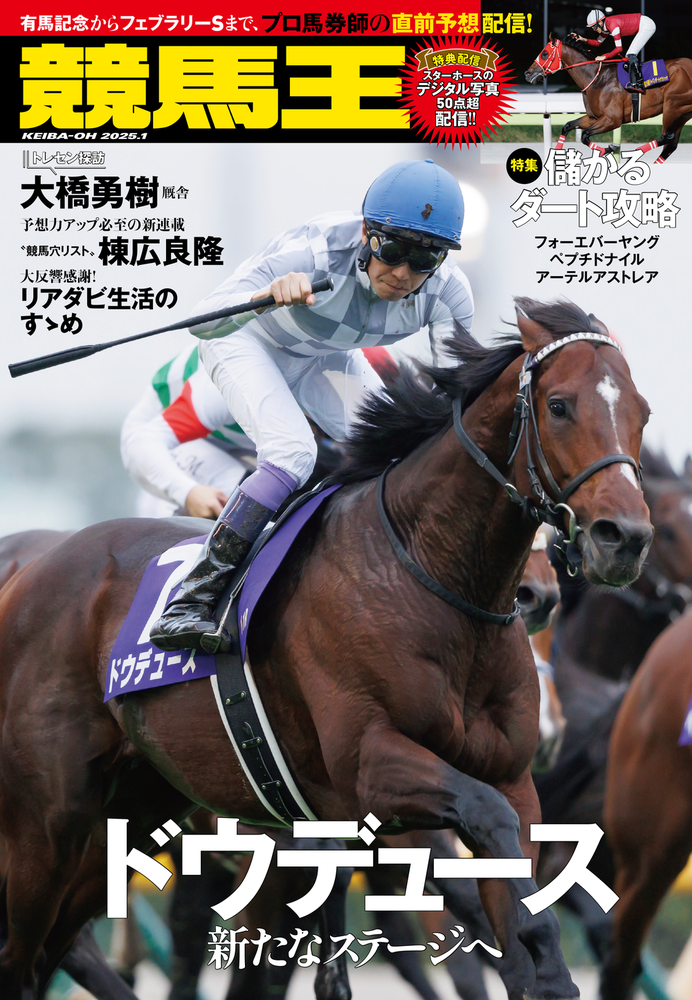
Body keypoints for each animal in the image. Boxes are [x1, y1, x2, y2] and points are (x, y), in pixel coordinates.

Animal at [0, 298, 653, 1000]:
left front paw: (544, 963)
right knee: (22, 953)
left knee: (52, 950)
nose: (624, 538)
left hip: (131, 812)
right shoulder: (366, 769)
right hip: (50, 820)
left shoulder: (508, 780)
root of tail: (31, 572)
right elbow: (484, 820)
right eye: (559, 405)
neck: (429, 577)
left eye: (642, 411)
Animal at [525, 33, 692, 162]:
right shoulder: (594, 117)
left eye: (544, 53)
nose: (527, 73)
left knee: (667, 136)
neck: (597, 78)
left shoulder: (612, 119)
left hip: (672, 105)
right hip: (682, 113)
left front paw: (610, 148)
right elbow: (568, 126)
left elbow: (585, 136)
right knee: (670, 145)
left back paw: (634, 154)